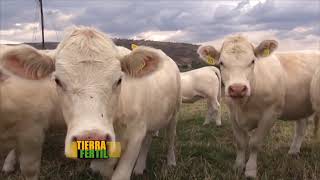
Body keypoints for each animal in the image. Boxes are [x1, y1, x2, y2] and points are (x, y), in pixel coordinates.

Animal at [0, 26, 181, 180]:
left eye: (119, 80)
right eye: (57, 81)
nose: (92, 139)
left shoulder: (136, 132)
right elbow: (102, 167)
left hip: (174, 113)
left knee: (171, 138)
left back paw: (171, 162)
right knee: (149, 139)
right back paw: (140, 167)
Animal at [198, 35, 320, 179]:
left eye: (252, 61)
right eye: (221, 62)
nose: (238, 89)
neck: (243, 105)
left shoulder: (270, 114)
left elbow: (254, 143)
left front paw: (250, 170)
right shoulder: (233, 115)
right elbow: (240, 142)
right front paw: (238, 166)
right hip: (300, 106)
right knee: (301, 127)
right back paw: (293, 151)